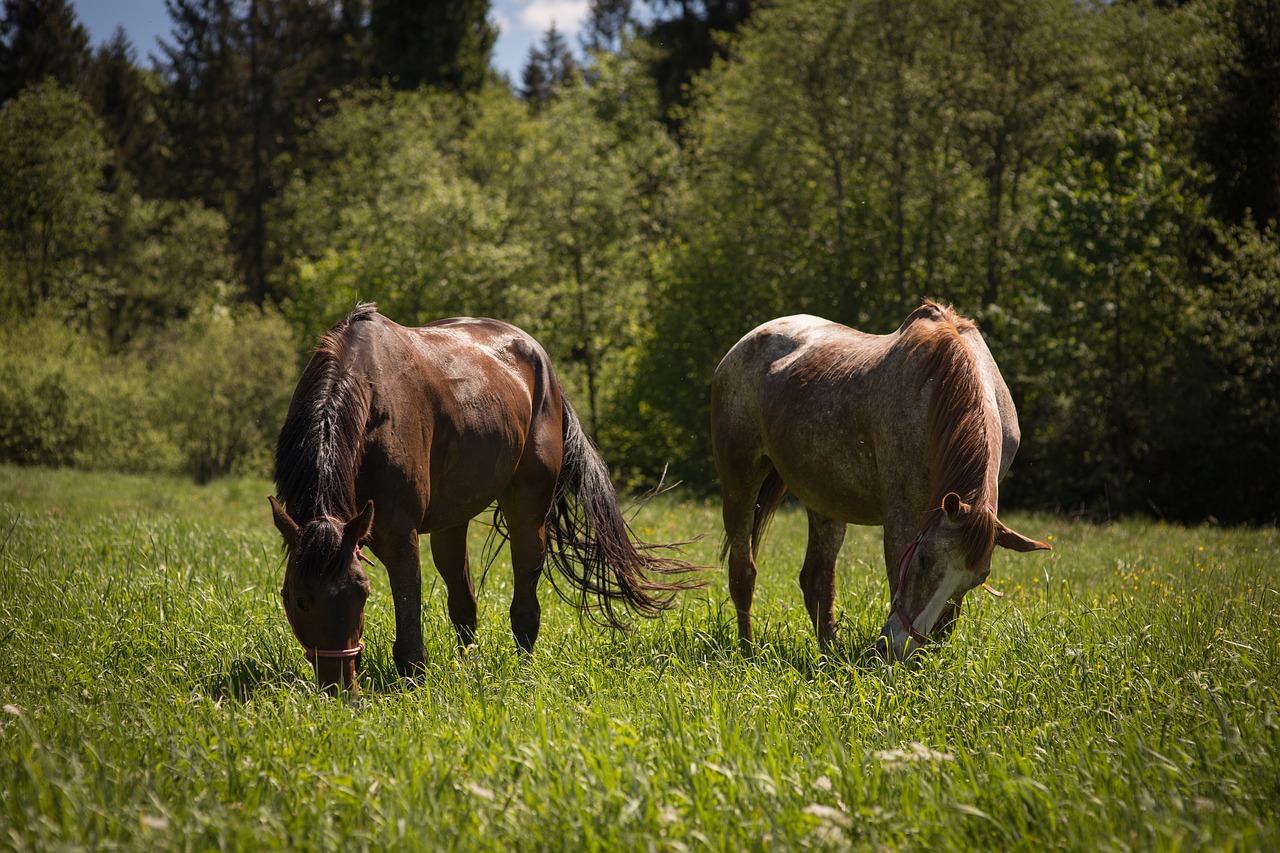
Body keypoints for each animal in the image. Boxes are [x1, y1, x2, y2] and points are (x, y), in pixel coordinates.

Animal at [263, 303, 696, 691]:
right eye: (296, 599)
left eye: (362, 593)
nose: (339, 689)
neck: (365, 396)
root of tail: (540, 359)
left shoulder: (399, 537)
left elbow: (409, 627)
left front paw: (415, 688)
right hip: (452, 522)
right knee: (464, 604)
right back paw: (467, 667)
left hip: (527, 513)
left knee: (525, 606)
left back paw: (523, 671)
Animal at [711, 298, 1049, 655]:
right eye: (924, 559)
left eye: (978, 579)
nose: (900, 646)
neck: (936, 394)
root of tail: (745, 343)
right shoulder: (904, 515)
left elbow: (949, 616)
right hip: (740, 482)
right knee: (743, 571)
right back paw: (747, 650)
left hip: (825, 501)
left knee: (817, 579)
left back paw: (829, 653)